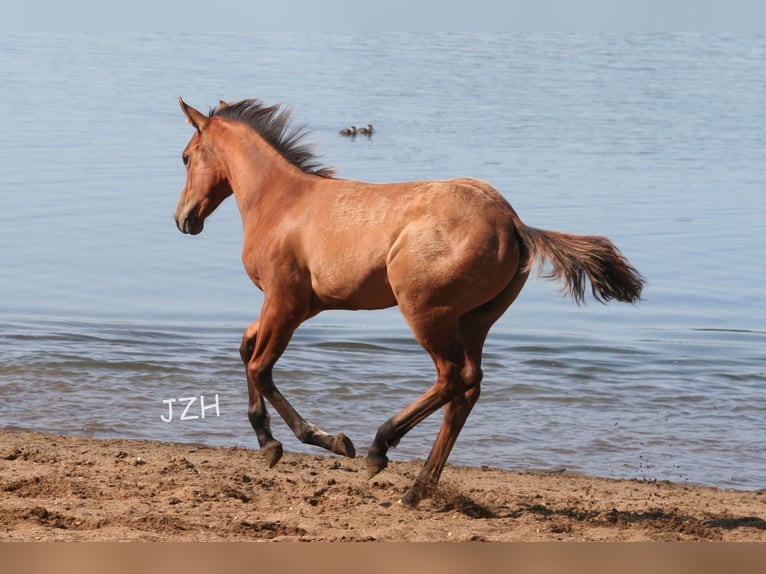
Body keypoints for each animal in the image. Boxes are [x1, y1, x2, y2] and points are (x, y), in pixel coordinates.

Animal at [174, 99, 648, 508]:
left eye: (185, 157)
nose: (183, 219)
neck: (283, 202)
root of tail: (512, 221)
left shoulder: (284, 301)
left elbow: (259, 366)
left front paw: (317, 441)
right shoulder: (301, 306)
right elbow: (246, 348)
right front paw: (271, 442)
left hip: (426, 313)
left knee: (453, 378)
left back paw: (379, 449)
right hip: (474, 322)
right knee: (467, 390)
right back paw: (417, 489)